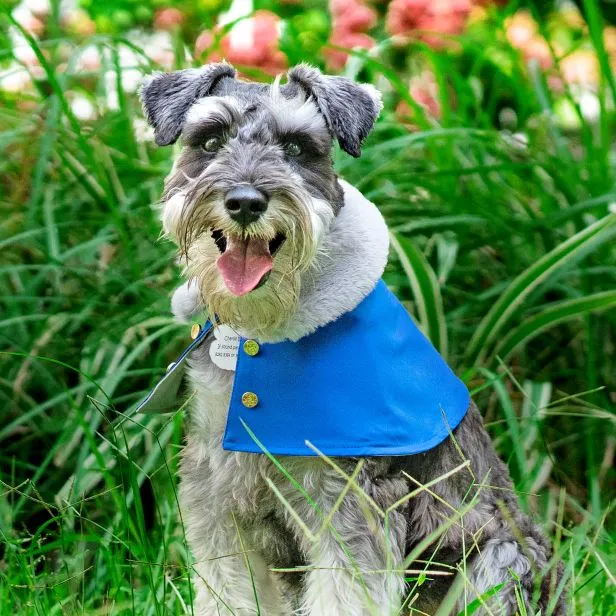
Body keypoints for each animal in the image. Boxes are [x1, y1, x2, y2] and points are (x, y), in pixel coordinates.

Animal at [138, 63, 564, 616]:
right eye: (209, 140)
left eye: (298, 148)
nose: (245, 202)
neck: (262, 334)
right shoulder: (217, 493)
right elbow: (229, 590)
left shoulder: (349, 499)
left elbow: (345, 591)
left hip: (499, 558)